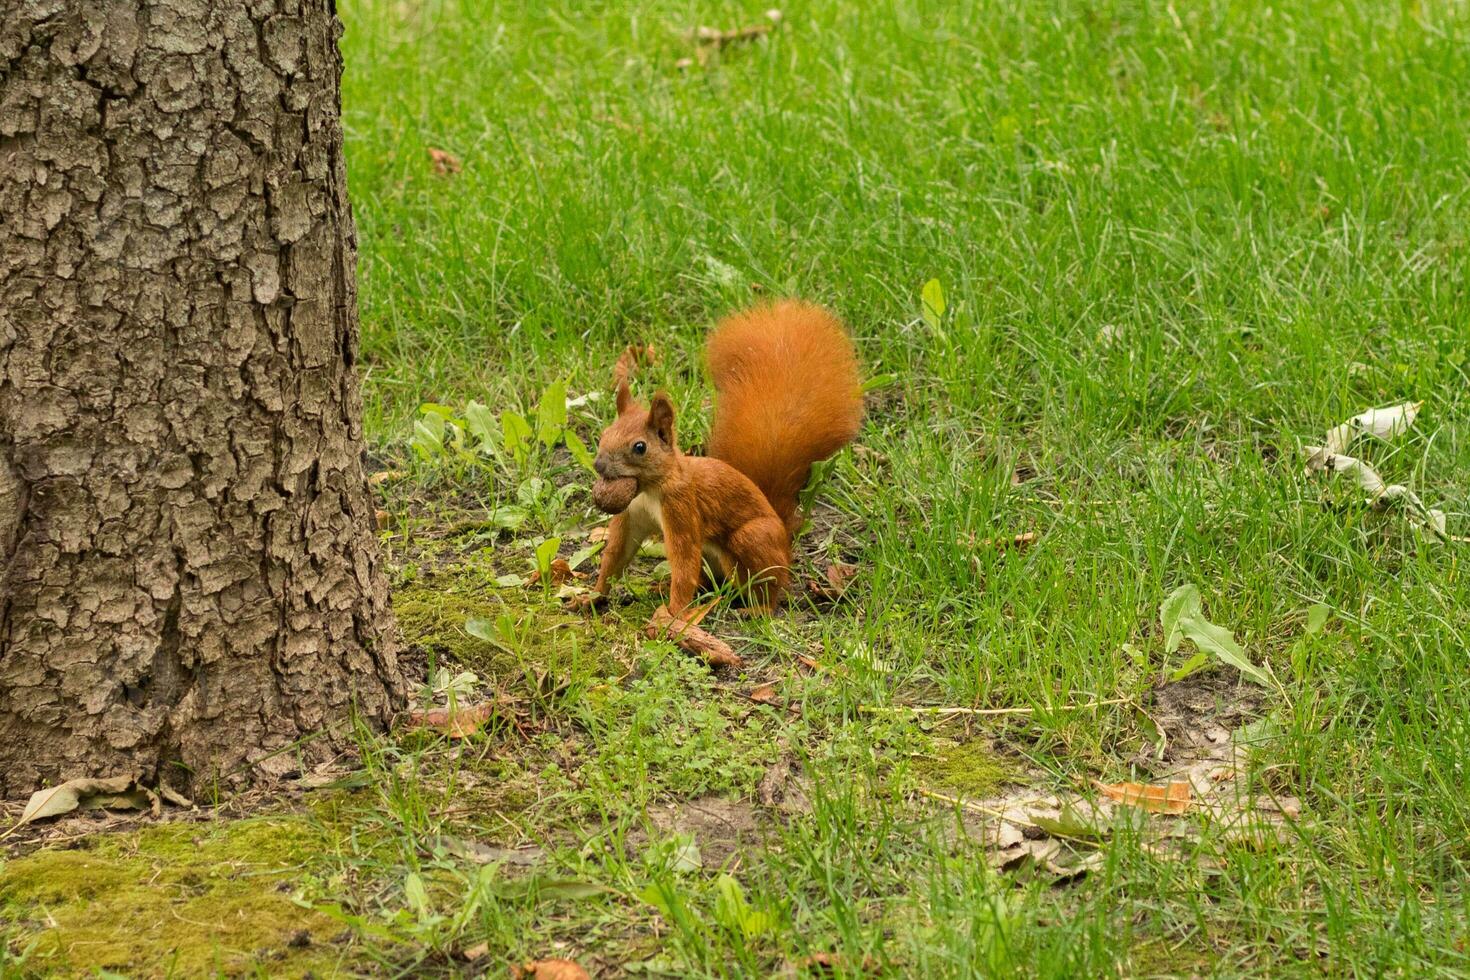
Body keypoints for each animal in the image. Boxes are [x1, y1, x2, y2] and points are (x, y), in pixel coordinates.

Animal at [585, 301, 858, 620]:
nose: (599, 466)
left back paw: (756, 608)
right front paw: (591, 596)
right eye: (604, 435)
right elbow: (616, 554)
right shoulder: (632, 513)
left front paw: (672, 615)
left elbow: (684, 562)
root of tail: (784, 540)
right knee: (708, 582)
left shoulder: (682, 507)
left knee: (767, 587)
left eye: (639, 447)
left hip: (753, 539)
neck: (649, 489)